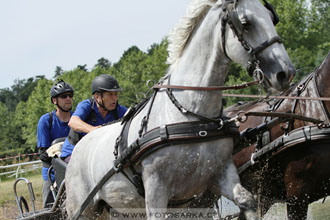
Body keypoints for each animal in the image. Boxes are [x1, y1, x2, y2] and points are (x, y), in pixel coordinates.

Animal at [63, 0, 294, 219]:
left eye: (272, 18)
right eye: (246, 23)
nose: (285, 73)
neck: (191, 116)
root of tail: (77, 149)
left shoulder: (220, 173)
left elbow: (247, 200)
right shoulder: (156, 188)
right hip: (84, 210)